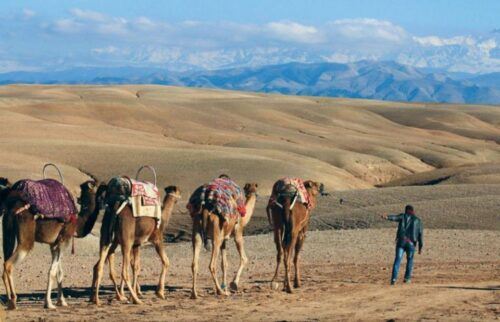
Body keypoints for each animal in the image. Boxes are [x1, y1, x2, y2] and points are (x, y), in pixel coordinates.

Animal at [0, 180, 105, 308]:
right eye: (97, 185)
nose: (104, 184)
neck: (77, 223)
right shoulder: (65, 239)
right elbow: (52, 272)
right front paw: (49, 303)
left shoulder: (54, 244)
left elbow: (59, 272)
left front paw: (62, 301)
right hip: (26, 238)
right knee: (8, 264)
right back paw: (13, 300)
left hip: (8, 232)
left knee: (5, 262)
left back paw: (8, 300)